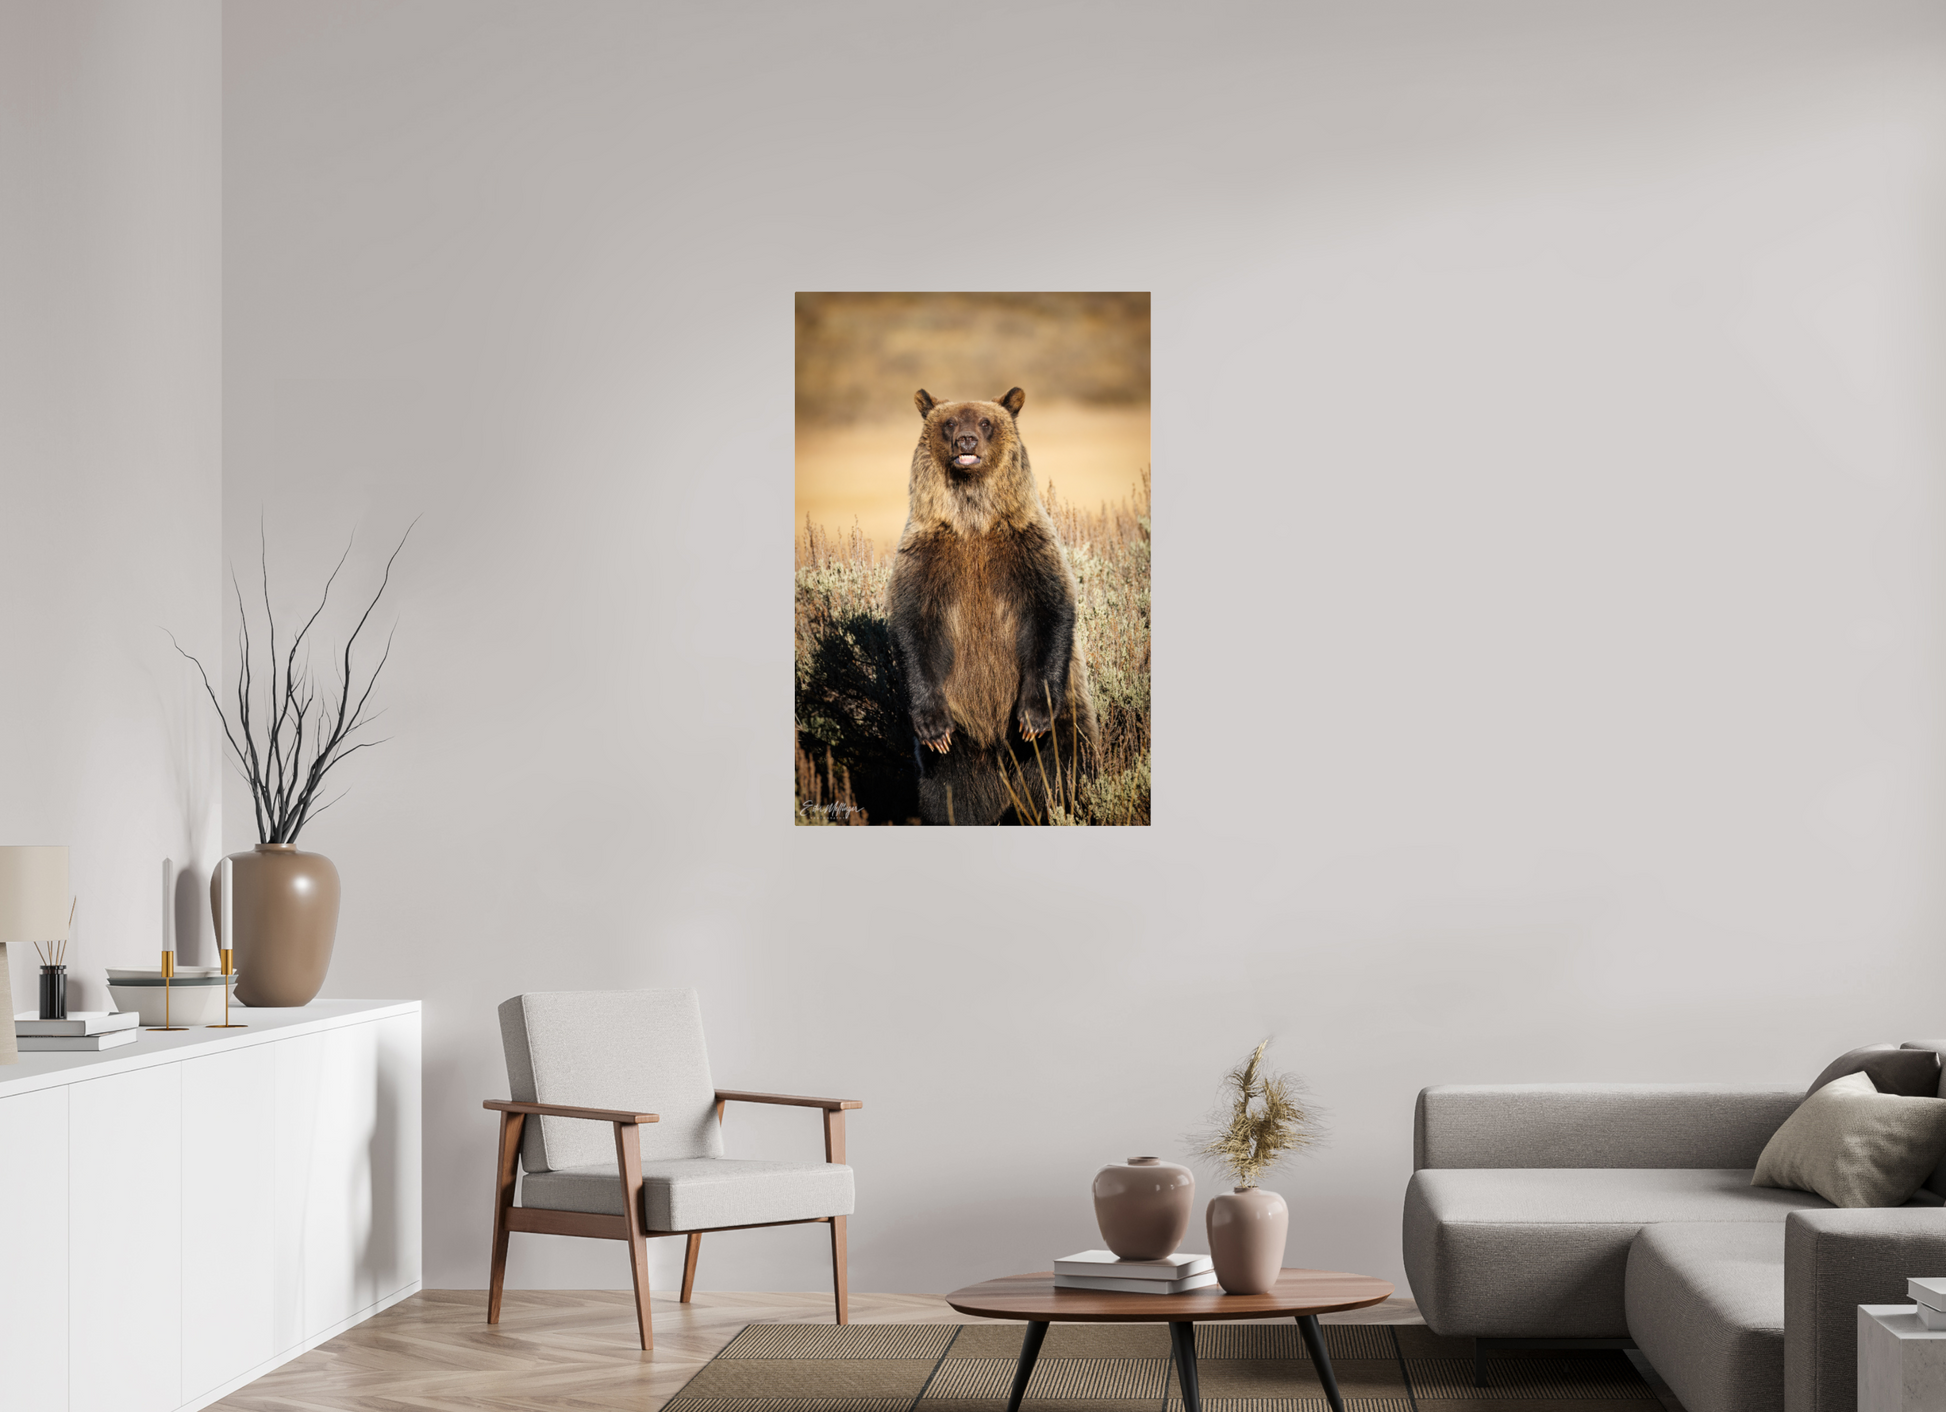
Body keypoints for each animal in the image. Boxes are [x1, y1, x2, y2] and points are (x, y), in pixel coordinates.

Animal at [885, 386, 1099, 825]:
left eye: (986, 422)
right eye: (950, 422)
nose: (966, 441)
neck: (974, 520)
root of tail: (999, 759)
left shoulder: (1026, 545)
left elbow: (1051, 609)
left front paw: (1033, 717)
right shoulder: (926, 555)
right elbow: (913, 626)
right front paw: (932, 726)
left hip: (1066, 723)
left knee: (1062, 772)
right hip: (962, 745)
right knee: (950, 794)